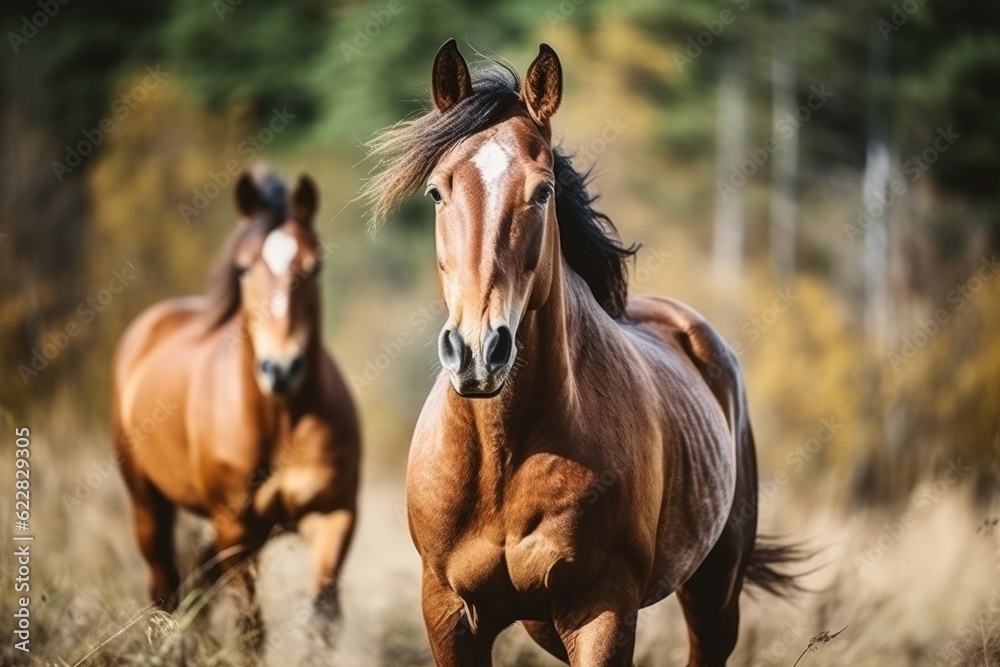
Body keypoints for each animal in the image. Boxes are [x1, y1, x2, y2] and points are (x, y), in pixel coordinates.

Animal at [111, 169, 361, 636]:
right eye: (244, 269)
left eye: (314, 266)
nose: (281, 368)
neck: (281, 420)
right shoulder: (234, 528)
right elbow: (250, 631)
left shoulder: (333, 516)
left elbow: (324, 616)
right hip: (148, 504)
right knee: (165, 585)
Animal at [361, 40, 799, 666]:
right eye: (437, 192)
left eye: (543, 190)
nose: (477, 352)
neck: (504, 454)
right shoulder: (448, 615)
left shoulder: (602, 610)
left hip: (715, 589)